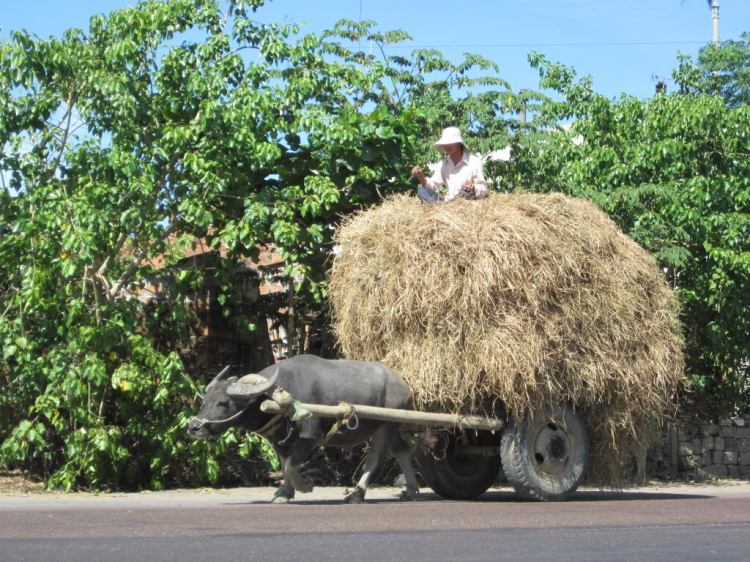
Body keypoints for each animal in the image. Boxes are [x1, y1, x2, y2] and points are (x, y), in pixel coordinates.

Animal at [187, 352, 420, 500]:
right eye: (204, 401)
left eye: (223, 403)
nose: (193, 428)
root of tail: (402, 383)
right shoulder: (280, 441)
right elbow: (284, 466)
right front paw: (284, 494)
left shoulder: (310, 437)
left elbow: (291, 467)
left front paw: (306, 486)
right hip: (387, 427)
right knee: (403, 450)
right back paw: (411, 490)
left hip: (387, 426)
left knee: (373, 460)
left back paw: (356, 494)